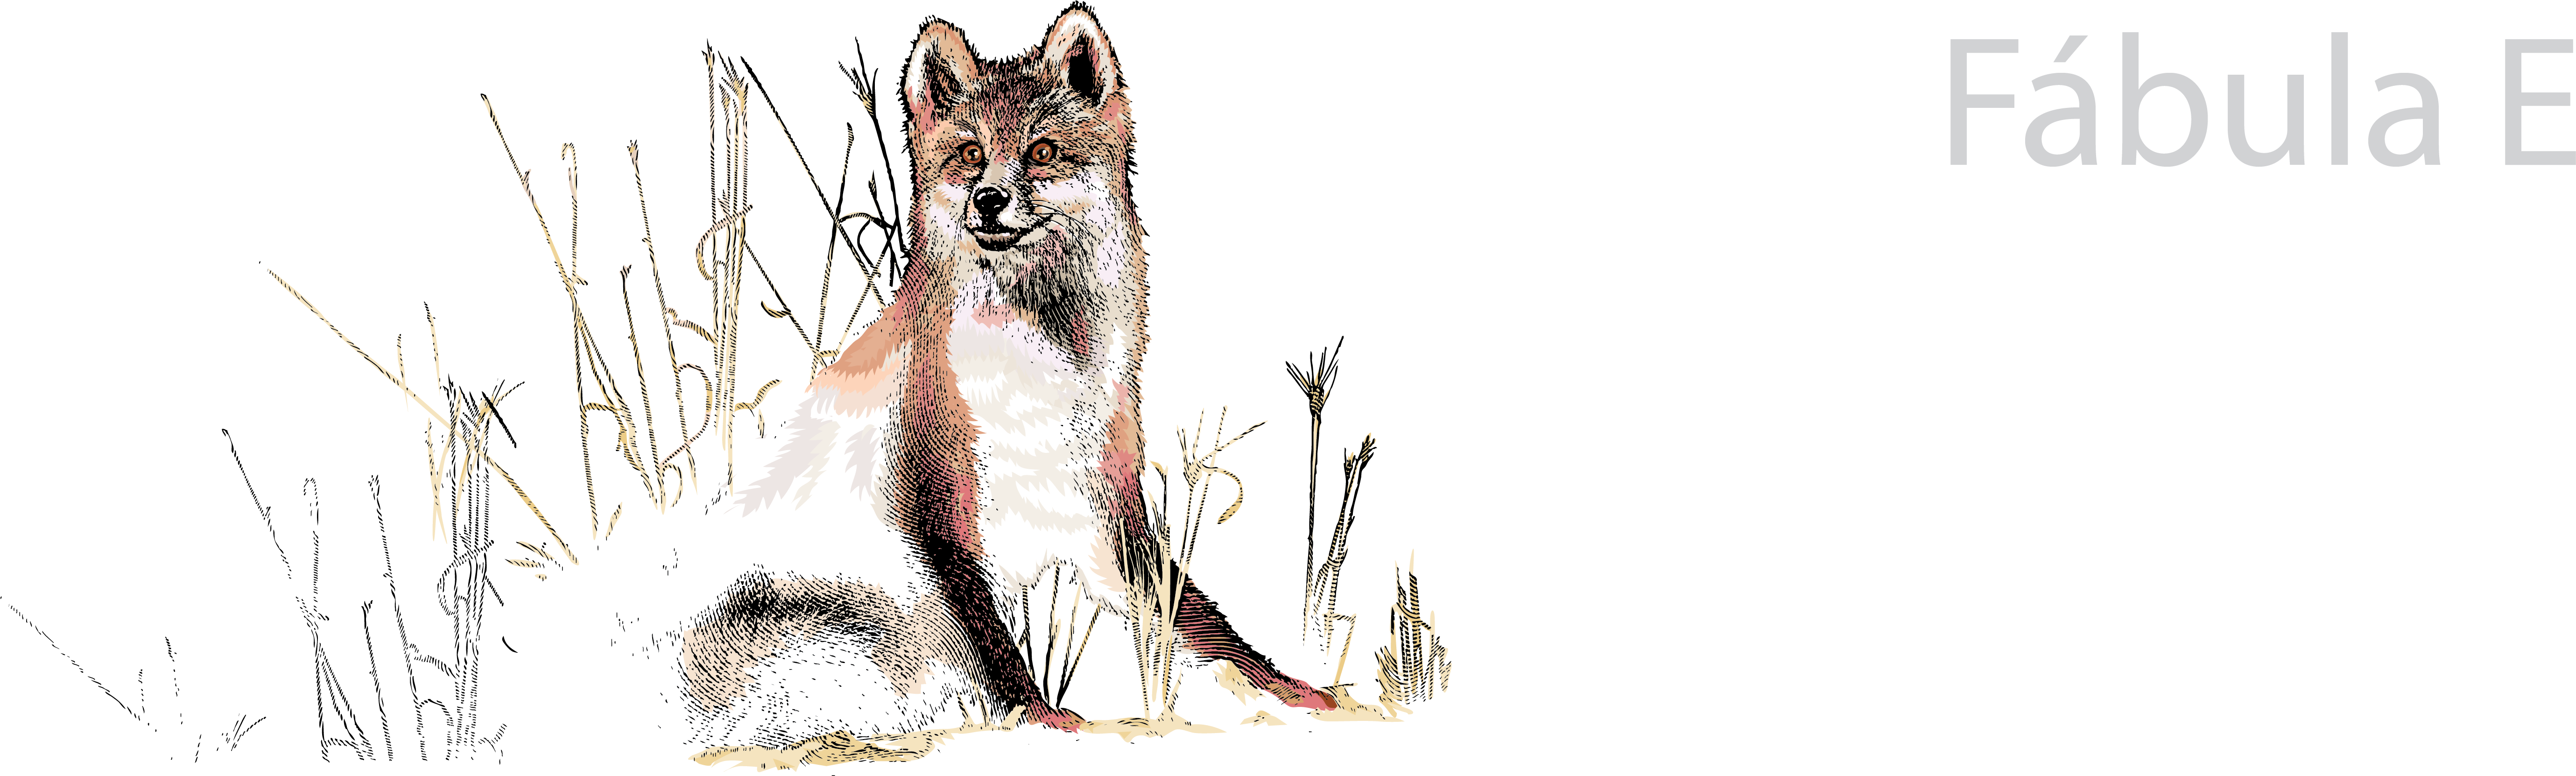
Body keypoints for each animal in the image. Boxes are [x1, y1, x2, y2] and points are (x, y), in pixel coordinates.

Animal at [623, 10, 1339, 768]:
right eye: (969, 155)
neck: (1036, 374)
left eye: (1043, 151)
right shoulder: (941, 522)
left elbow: (1201, 624)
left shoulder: (1102, 515)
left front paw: (1298, 690)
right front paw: (1054, 721)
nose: (988, 199)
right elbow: (1004, 669)